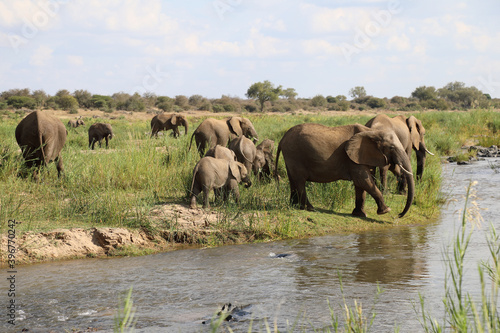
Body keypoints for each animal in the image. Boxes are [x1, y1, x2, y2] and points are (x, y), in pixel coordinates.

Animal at [274, 123, 414, 217]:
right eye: (391, 147)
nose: (399, 215)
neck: (373, 132)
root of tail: (282, 139)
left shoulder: (360, 157)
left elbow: (361, 185)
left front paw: (359, 214)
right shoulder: (352, 157)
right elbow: (363, 180)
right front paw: (385, 211)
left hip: (290, 156)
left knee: (293, 180)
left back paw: (294, 206)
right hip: (295, 154)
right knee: (300, 181)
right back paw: (310, 209)